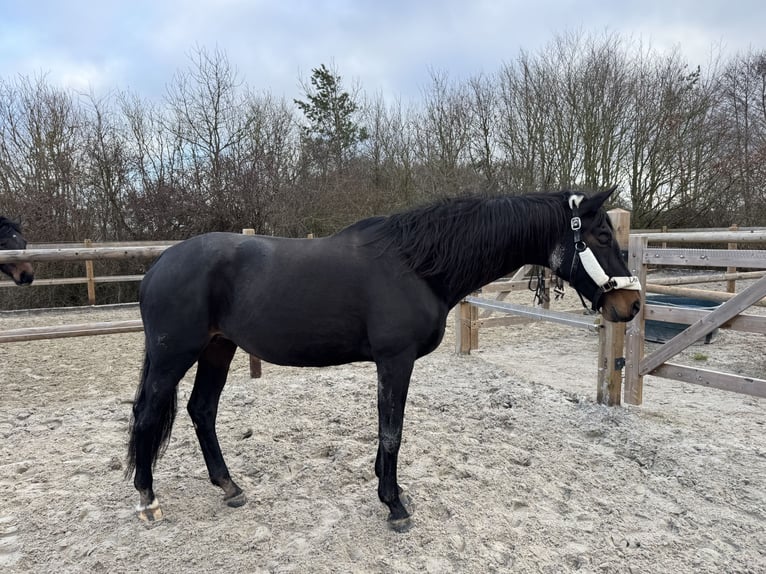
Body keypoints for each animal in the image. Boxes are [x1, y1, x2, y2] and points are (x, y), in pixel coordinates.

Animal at [126, 189, 640, 532]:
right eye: (599, 234)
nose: (631, 305)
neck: (418, 264)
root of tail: (158, 266)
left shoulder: (390, 364)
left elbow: (386, 429)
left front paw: (388, 487)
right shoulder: (396, 360)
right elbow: (392, 431)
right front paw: (394, 506)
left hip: (218, 348)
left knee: (201, 410)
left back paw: (229, 487)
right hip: (175, 354)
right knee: (148, 414)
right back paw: (148, 500)